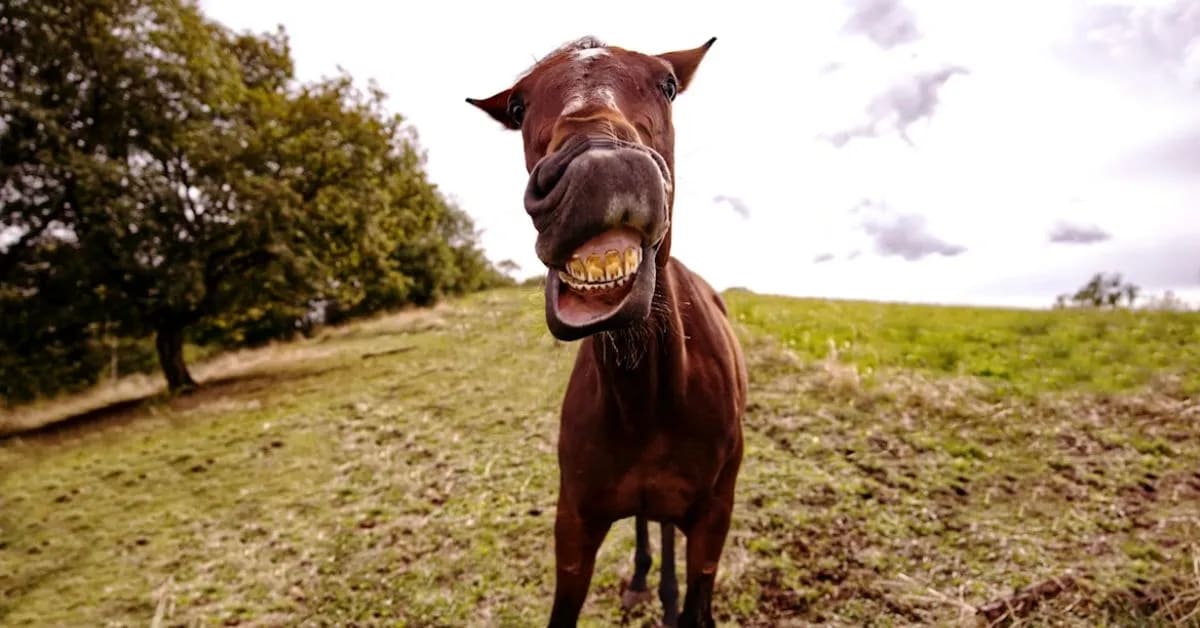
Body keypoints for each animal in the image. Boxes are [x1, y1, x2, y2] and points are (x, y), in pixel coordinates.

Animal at [467, 36, 747, 627]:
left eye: (668, 84)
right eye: (518, 106)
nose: (600, 171)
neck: (647, 403)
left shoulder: (713, 519)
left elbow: (698, 601)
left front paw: (676, 600)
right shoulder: (574, 523)